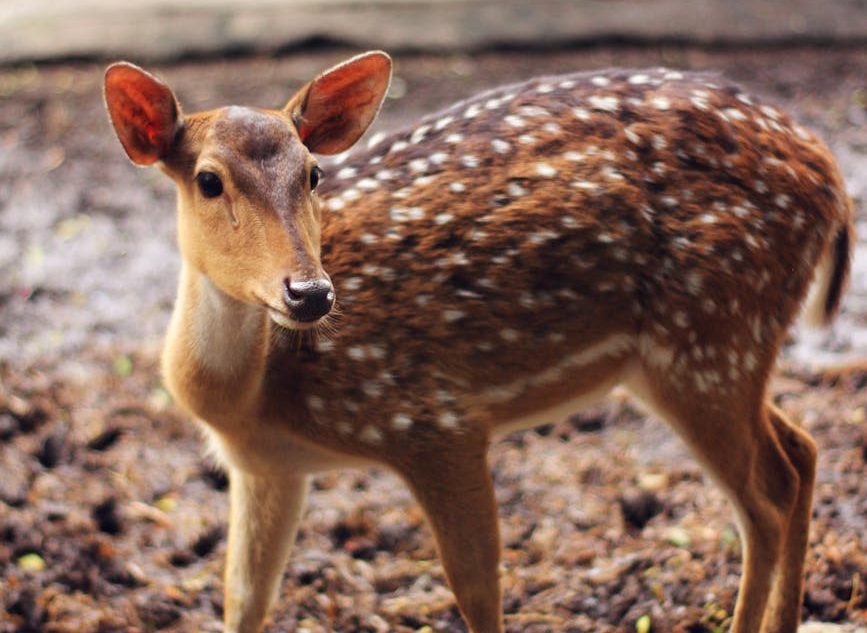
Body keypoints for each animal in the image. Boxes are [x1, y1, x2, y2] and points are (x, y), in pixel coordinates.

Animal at [103, 51, 854, 633]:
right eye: (208, 180)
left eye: (313, 173)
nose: (310, 293)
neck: (254, 397)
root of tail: (832, 176)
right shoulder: (267, 468)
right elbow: (244, 599)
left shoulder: (436, 420)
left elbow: (477, 586)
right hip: (705, 352)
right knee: (802, 451)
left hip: (710, 335)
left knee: (768, 494)